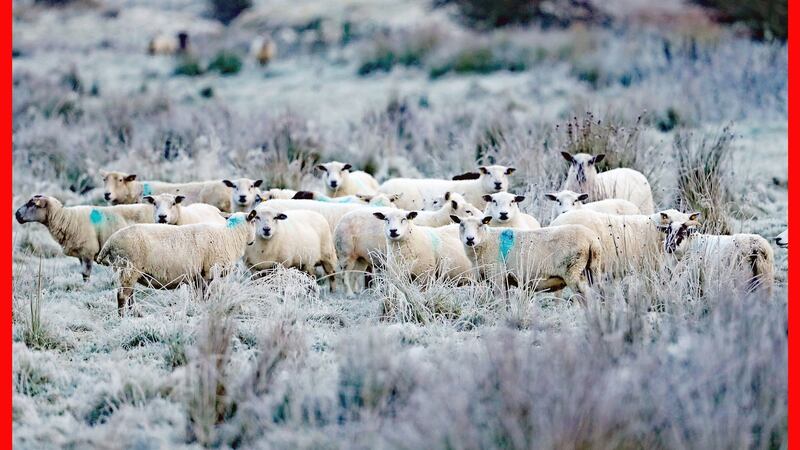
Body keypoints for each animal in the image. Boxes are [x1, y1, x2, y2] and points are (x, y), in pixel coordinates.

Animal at [14, 195, 153, 281]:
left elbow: (86, 275)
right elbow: (83, 274)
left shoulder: (88, 252)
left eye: (32, 204)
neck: (67, 218)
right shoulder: (81, 255)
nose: (16, 214)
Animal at [97, 211, 258, 315]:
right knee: (122, 296)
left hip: (127, 272)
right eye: (255, 220)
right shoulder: (208, 273)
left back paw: (136, 314)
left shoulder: (197, 277)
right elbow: (205, 296)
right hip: (128, 269)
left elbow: (198, 296)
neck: (230, 236)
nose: (253, 241)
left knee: (130, 295)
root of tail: (110, 242)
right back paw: (123, 317)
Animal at [334, 192, 480, 296]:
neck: (436, 219)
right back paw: (349, 294)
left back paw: (356, 292)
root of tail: (341, 219)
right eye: (468, 211)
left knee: (354, 274)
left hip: (360, 257)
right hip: (345, 253)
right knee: (345, 275)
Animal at [449, 215, 601, 296]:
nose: (470, 239)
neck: (487, 240)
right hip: (593, 269)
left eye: (481, 224)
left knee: (584, 295)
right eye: (461, 224)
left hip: (574, 270)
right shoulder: (505, 280)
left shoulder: (497, 276)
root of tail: (591, 239)